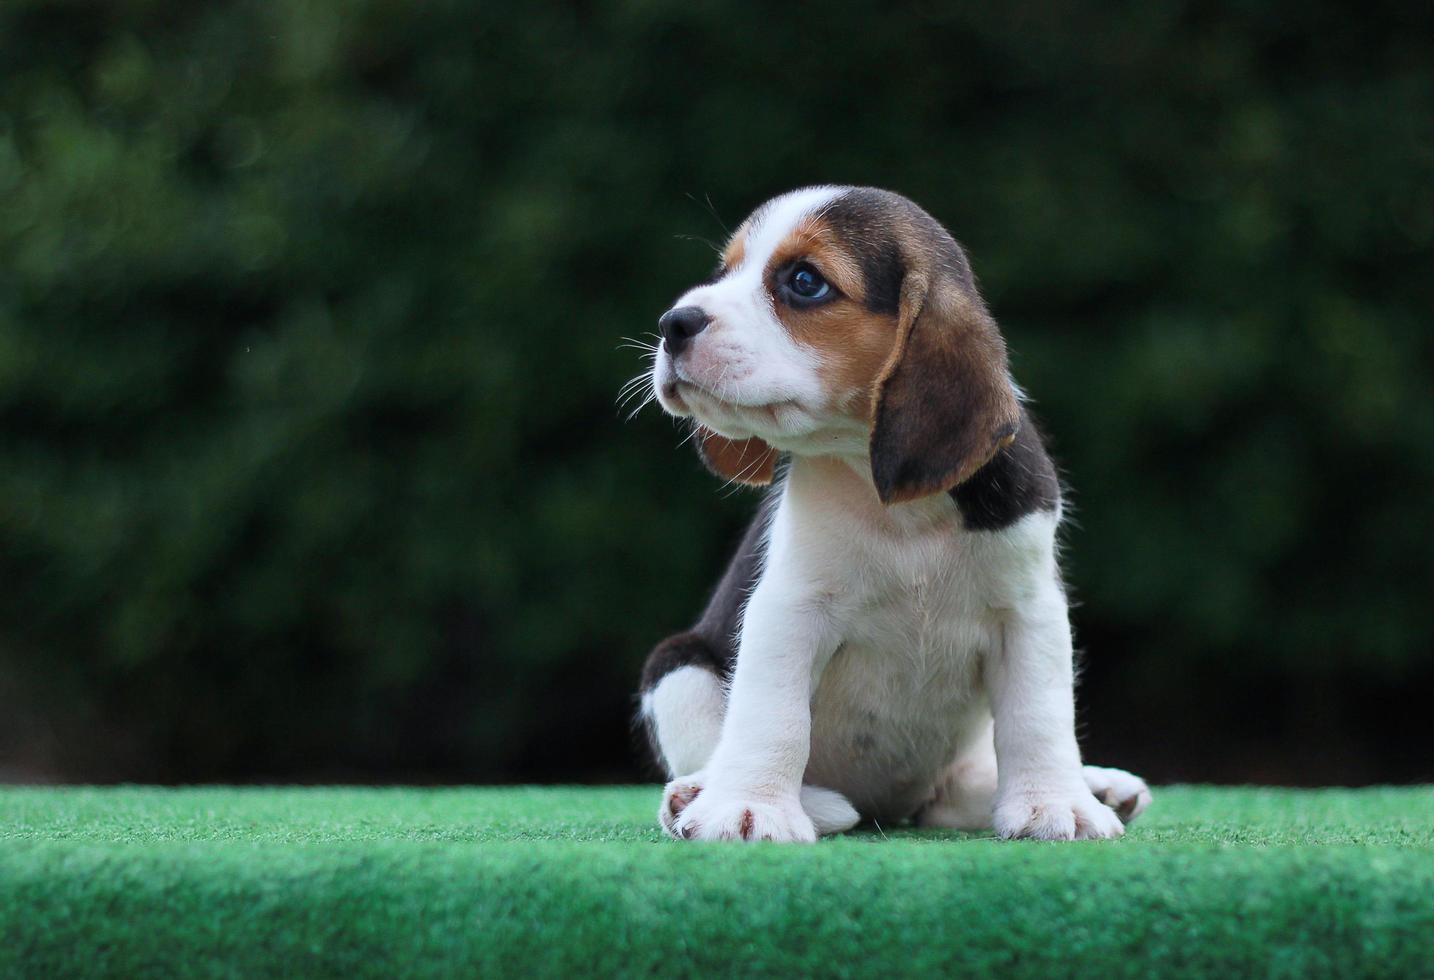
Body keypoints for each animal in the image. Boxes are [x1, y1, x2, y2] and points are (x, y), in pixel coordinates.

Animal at [633, 186, 1147, 843]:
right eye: (725, 271)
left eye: (805, 281)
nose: (673, 324)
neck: (900, 511)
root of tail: (888, 804)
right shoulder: (788, 610)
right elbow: (772, 717)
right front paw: (750, 807)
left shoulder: (1030, 611)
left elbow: (1038, 717)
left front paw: (1056, 804)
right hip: (677, 669)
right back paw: (708, 795)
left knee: (960, 792)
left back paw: (1097, 785)